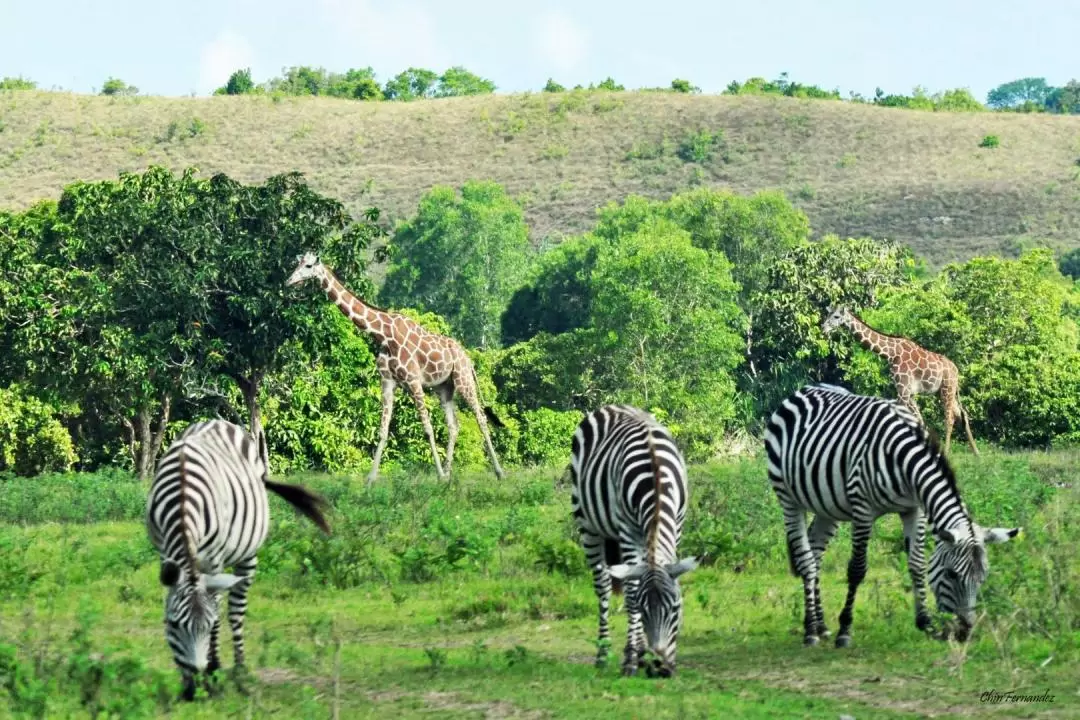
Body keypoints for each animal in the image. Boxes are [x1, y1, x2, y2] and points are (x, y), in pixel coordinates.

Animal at [145, 418, 328, 699]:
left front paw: (214, 672)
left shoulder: (213, 561)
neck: (182, 497)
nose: (194, 691)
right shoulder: (165, 552)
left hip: (248, 554)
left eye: (207, 626)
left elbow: (218, 614)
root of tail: (216, 420)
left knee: (235, 611)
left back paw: (240, 672)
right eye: (173, 625)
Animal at [287, 253, 505, 483]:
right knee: (454, 426)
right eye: (297, 264)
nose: (289, 281)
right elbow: (383, 430)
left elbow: (427, 428)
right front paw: (370, 480)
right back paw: (448, 474)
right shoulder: (387, 381)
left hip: (463, 380)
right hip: (444, 388)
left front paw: (436, 475)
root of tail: (468, 359)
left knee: (481, 418)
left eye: (308, 266)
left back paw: (498, 472)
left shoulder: (414, 381)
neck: (383, 334)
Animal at [570, 405, 695, 682]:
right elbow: (631, 592)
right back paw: (603, 654)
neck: (656, 479)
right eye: (644, 610)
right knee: (603, 586)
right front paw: (631, 658)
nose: (661, 669)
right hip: (588, 526)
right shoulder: (628, 530)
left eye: (676, 609)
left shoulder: (678, 523)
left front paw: (642, 654)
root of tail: (613, 406)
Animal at [764, 386, 1015, 651]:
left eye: (982, 578)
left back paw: (820, 625)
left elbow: (917, 565)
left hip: (826, 507)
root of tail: (804, 390)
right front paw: (845, 630)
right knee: (806, 560)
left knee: (815, 551)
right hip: (788, 497)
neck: (903, 460)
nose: (964, 633)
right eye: (951, 575)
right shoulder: (862, 509)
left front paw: (925, 623)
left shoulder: (914, 509)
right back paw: (811, 630)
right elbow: (857, 569)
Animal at [820, 306, 984, 455]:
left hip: (947, 389)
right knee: (962, 414)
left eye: (836, 316)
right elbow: (919, 420)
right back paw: (976, 452)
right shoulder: (907, 392)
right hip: (945, 391)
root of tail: (956, 370)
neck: (890, 353)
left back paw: (948, 451)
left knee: (949, 418)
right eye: (828, 314)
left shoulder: (903, 389)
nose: (823, 328)